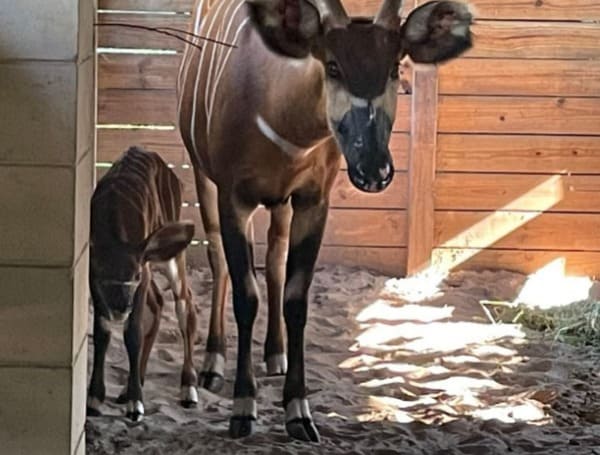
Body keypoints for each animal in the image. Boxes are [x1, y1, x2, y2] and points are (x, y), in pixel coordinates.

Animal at [86, 148, 197, 422]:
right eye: (100, 273)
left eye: (134, 275)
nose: (120, 308)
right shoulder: (96, 286)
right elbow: (102, 333)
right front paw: (94, 400)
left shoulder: (143, 270)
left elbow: (133, 333)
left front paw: (136, 406)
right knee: (158, 301)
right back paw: (129, 387)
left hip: (171, 255)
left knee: (184, 303)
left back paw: (188, 390)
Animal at [178, 0, 474, 442]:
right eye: (333, 66)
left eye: (394, 66)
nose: (373, 169)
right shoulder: (234, 199)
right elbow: (246, 297)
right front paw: (243, 409)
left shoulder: (312, 201)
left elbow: (296, 298)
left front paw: (299, 412)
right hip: (202, 174)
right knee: (218, 259)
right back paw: (212, 364)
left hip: (281, 206)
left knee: (276, 261)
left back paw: (276, 354)